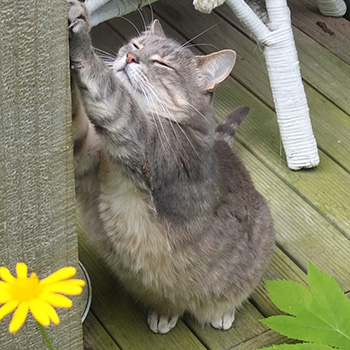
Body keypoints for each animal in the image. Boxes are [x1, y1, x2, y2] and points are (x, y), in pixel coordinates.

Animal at [68, 0, 274, 334]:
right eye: (135, 45)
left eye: (162, 64)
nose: (129, 56)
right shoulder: (83, 153)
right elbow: (74, 109)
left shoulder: (136, 133)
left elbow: (107, 90)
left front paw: (82, 31)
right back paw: (165, 312)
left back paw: (220, 312)